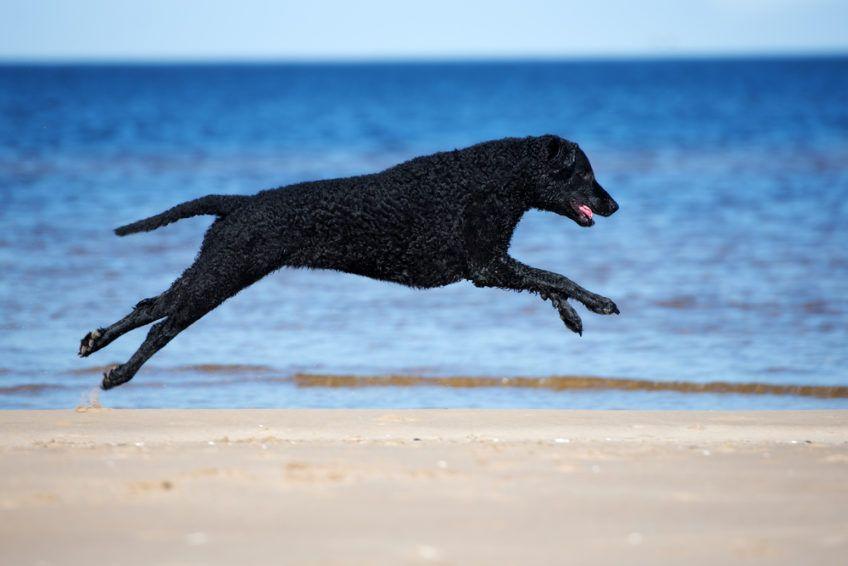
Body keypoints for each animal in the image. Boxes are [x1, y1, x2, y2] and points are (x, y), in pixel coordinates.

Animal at [81, 135, 616, 390]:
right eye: (584, 172)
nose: (614, 205)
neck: (498, 177)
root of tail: (241, 202)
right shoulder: (486, 266)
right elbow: (556, 276)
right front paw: (597, 302)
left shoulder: (494, 264)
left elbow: (548, 282)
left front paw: (571, 315)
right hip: (223, 273)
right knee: (162, 324)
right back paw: (119, 374)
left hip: (214, 266)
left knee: (152, 305)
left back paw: (96, 342)